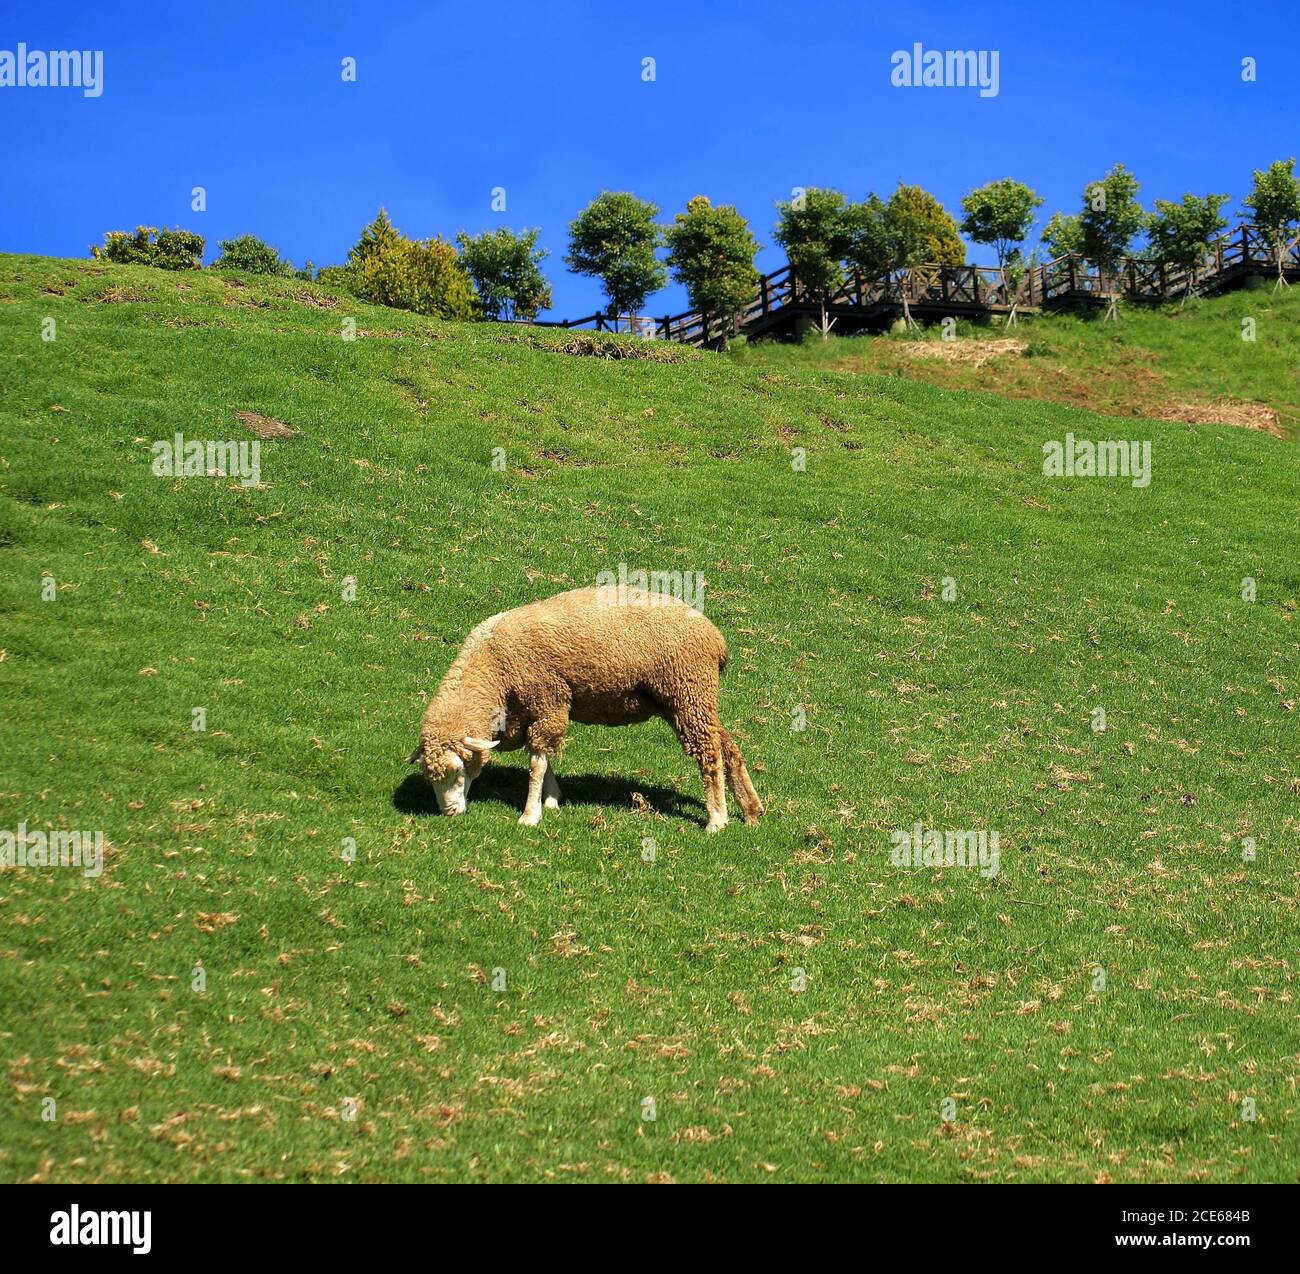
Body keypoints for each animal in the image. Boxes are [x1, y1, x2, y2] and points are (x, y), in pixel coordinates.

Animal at [408, 586, 764, 831]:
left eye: (458, 770)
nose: (449, 813)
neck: (494, 672)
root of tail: (716, 639)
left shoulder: (548, 700)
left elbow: (537, 762)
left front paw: (531, 813)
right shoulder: (533, 713)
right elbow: (543, 757)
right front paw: (552, 799)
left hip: (688, 691)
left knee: (709, 753)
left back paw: (717, 819)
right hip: (689, 701)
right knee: (727, 746)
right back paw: (750, 809)